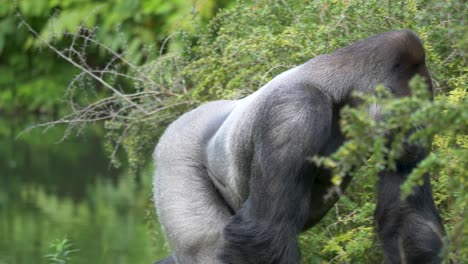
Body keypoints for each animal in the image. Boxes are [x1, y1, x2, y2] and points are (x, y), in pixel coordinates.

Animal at [153, 30, 442, 264]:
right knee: (207, 244)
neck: (339, 88)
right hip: (175, 153)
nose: (419, 136)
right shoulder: (296, 113)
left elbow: (407, 218)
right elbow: (265, 231)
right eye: (411, 113)